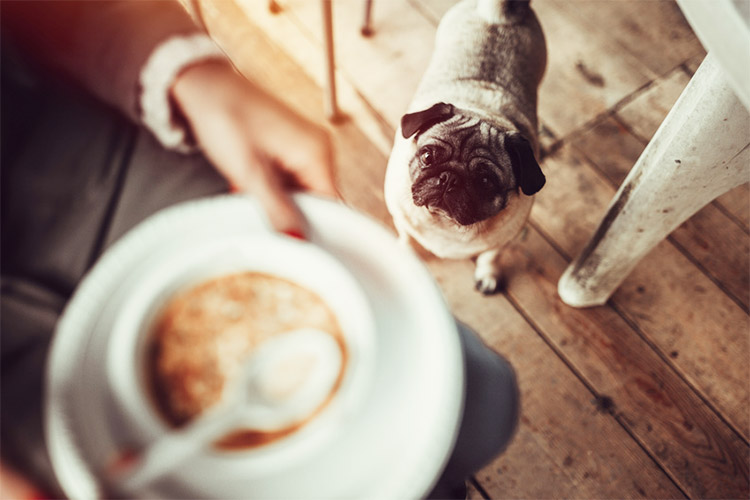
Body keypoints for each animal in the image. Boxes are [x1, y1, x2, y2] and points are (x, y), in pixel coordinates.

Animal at [384, 0, 548, 292]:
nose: (448, 178)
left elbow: (491, 255)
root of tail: (497, 15)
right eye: (427, 156)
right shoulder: (401, 220)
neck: (446, 224)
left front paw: (488, 274)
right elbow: (408, 240)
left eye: (485, 181)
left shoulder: (505, 239)